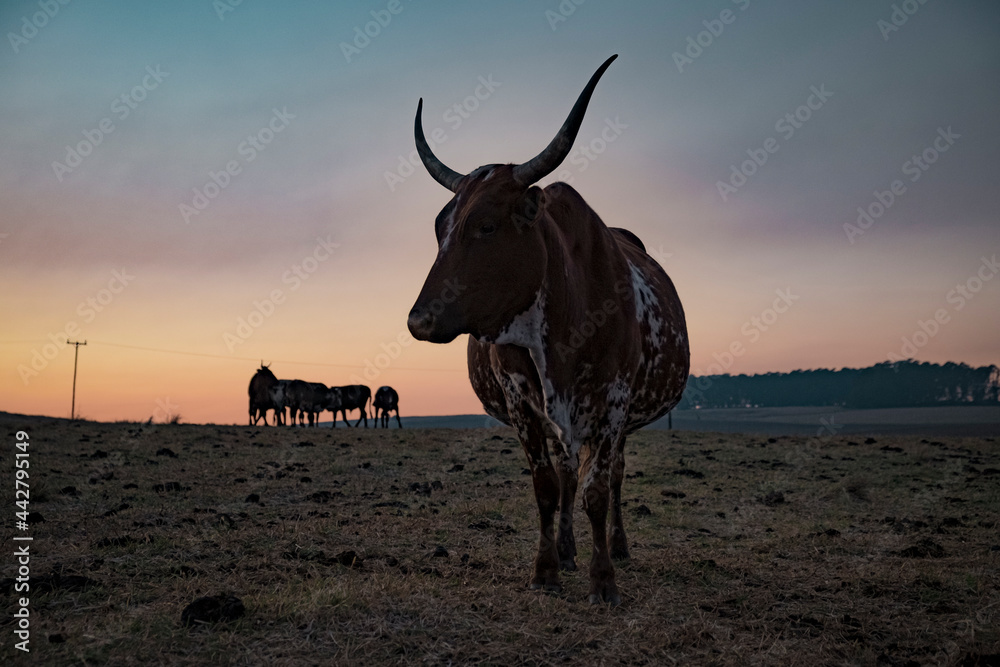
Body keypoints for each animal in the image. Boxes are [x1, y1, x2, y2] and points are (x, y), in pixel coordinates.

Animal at [404, 56, 688, 604]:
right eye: (438, 228)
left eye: (487, 225)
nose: (418, 319)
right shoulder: (522, 399)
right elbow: (547, 487)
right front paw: (547, 569)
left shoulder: (614, 401)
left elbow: (598, 490)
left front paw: (604, 580)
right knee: (566, 473)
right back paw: (568, 549)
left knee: (613, 478)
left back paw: (617, 547)